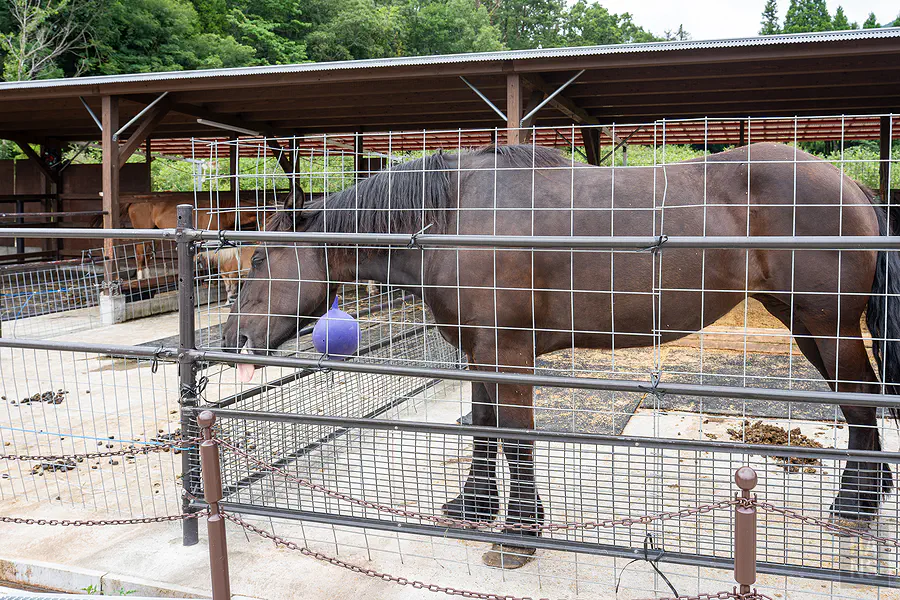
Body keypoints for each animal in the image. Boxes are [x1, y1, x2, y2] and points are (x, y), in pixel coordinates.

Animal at [221, 143, 900, 569]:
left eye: (261, 258)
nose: (232, 341)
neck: (455, 217)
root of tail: (851, 184)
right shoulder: (481, 353)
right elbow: (485, 428)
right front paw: (474, 506)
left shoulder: (509, 354)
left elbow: (517, 436)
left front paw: (521, 531)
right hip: (807, 325)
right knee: (860, 408)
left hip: (829, 327)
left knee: (862, 404)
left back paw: (854, 507)